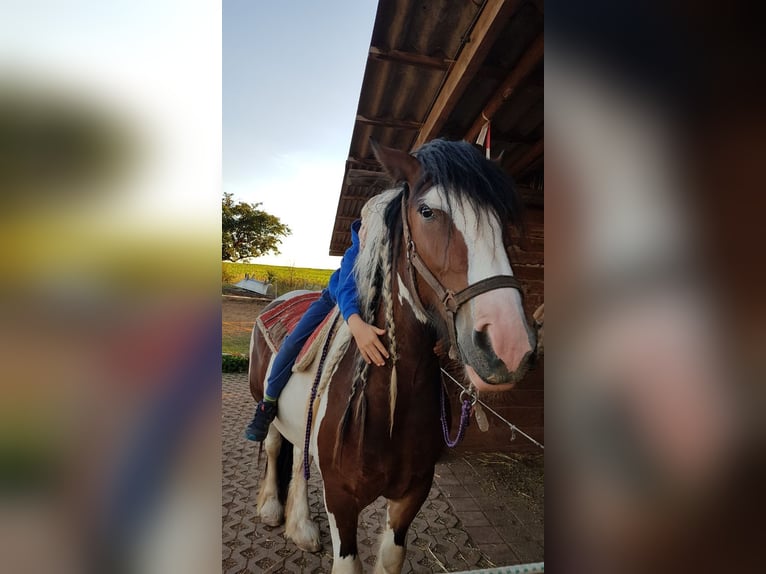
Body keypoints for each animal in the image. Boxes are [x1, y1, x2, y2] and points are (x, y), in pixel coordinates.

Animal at [249, 137, 536, 572]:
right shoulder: (341, 501)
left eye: (502, 219)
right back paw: (270, 509)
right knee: (272, 443)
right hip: (263, 401)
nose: (509, 344)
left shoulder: (411, 496)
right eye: (427, 211)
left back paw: (301, 529)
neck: (388, 405)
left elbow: (390, 557)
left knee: (297, 453)